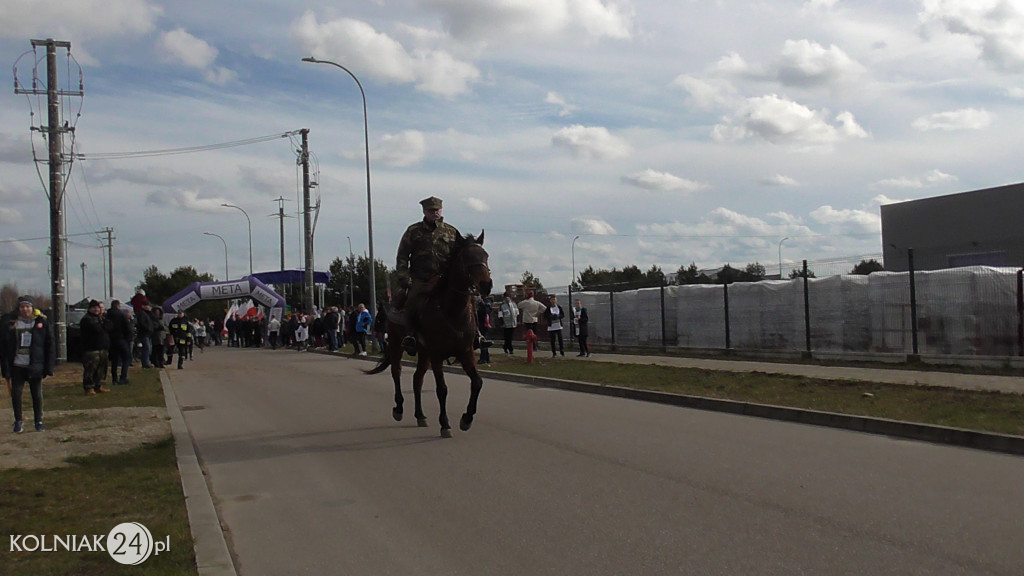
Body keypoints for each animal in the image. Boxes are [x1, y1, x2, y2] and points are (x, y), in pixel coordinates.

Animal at [366, 228, 493, 434]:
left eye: (485, 256)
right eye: (466, 257)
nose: (486, 285)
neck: (452, 311)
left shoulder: (465, 352)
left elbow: (477, 382)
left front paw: (466, 419)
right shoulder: (437, 355)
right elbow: (442, 389)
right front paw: (445, 424)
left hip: (423, 353)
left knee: (417, 379)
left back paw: (420, 415)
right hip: (396, 343)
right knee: (396, 371)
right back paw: (399, 408)